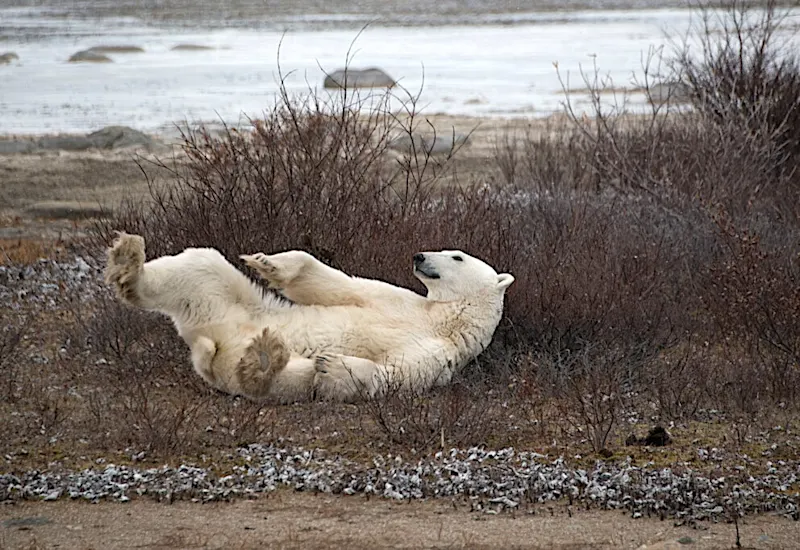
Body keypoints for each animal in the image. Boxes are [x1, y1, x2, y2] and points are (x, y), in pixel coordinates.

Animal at [104, 232, 514, 402]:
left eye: (457, 256)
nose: (419, 256)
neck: (441, 319)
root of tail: (210, 341)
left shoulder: (441, 353)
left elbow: (394, 374)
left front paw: (334, 365)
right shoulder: (396, 300)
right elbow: (332, 284)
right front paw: (266, 263)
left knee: (287, 378)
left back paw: (263, 359)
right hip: (225, 299)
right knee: (199, 264)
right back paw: (128, 262)